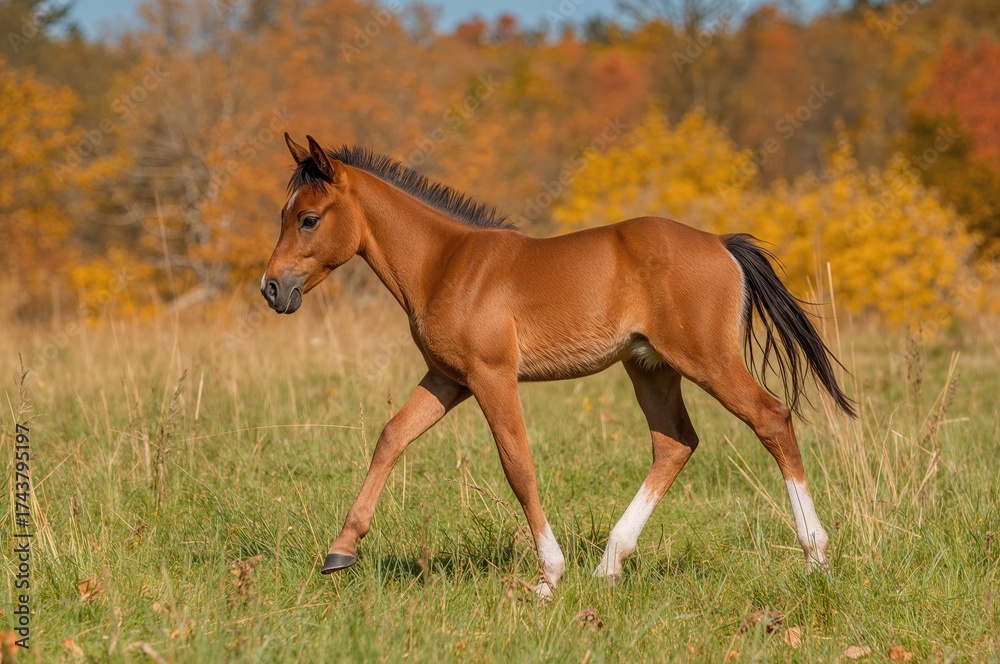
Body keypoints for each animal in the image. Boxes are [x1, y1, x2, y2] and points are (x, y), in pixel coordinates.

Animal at [262, 133, 856, 597]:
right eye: (284, 215)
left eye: (309, 219)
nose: (272, 288)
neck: (444, 263)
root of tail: (721, 244)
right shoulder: (448, 379)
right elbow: (391, 436)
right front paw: (341, 551)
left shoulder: (491, 376)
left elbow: (517, 465)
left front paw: (548, 576)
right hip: (651, 368)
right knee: (675, 443)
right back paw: (610, 564)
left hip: (707, 361)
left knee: (771, 418)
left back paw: (815, 558)